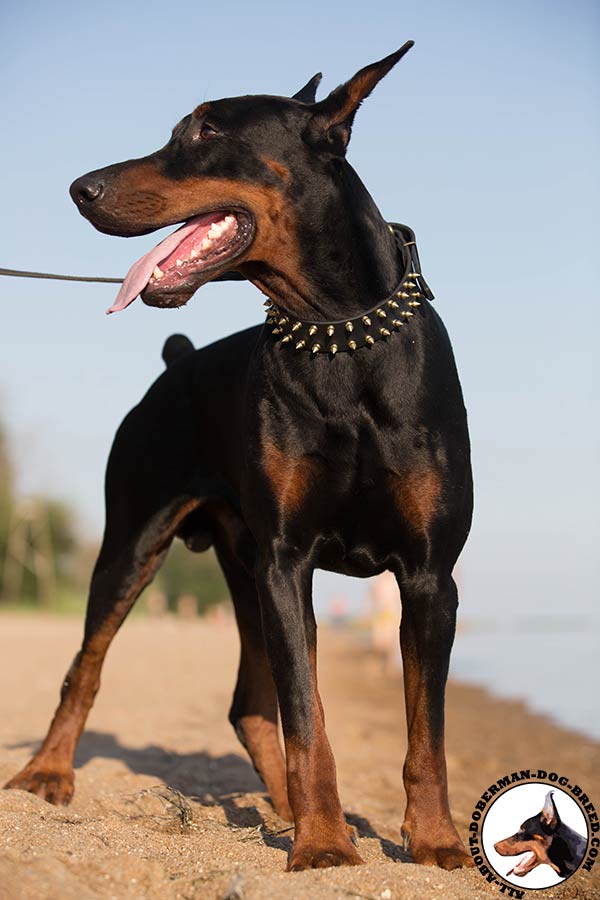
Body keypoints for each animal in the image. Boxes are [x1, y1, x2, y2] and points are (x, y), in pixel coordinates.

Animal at [3, 42, 474, 872]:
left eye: (205, 130)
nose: (80, 189)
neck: (339, 338)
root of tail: (179, 360)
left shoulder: (428, 576)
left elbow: (427, 733)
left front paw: (436, 841)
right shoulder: (289, 559)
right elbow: (309, 719)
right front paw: (325, 845)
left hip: (243, 567)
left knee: (250, 705)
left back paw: (290, 809)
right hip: (138, 544)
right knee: (85, 669)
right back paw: (48, 773)